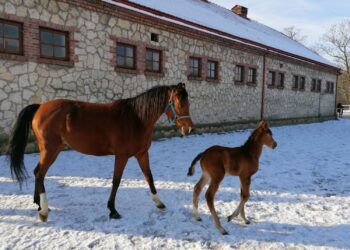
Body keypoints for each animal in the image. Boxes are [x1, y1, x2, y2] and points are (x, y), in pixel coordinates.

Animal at [7, 83, 194, 222]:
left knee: (38, 173)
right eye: (181, 103)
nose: (189, 128)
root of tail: (40, 107)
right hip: (50, 149)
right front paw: (113, 210)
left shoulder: (141, 154)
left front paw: (159, 203)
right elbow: (116, 181)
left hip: (52, 150)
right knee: (39, 173)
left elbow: (149, 177)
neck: (136, 119)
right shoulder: (122, 156)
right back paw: (44, 211)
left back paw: (38, 203)